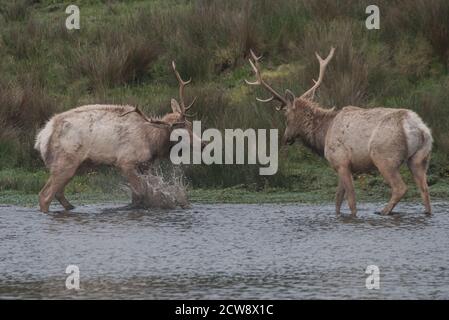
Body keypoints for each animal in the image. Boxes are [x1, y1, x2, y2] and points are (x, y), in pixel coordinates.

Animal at [35, 61, 201, 214]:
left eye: (190, 125)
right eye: (179, 131)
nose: (203, 143)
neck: (152, 142)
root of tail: (42, 137)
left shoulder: (146, 165)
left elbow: (140, 194)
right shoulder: (125, 161)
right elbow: (140, 194)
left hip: (69, 166)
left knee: (58, 193)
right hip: (64, 162)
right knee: (45, 195)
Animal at [247, 47, 432, 216]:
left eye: (286, 116)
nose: (286, 138)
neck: (323, 135)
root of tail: (418, 127)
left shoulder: (340, 161)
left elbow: (350, 200)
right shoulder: (344, 165)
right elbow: (337, 200)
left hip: (384, 157)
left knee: (401, 187)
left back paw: (383, 211)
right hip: (420, 158)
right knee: (425, 190)